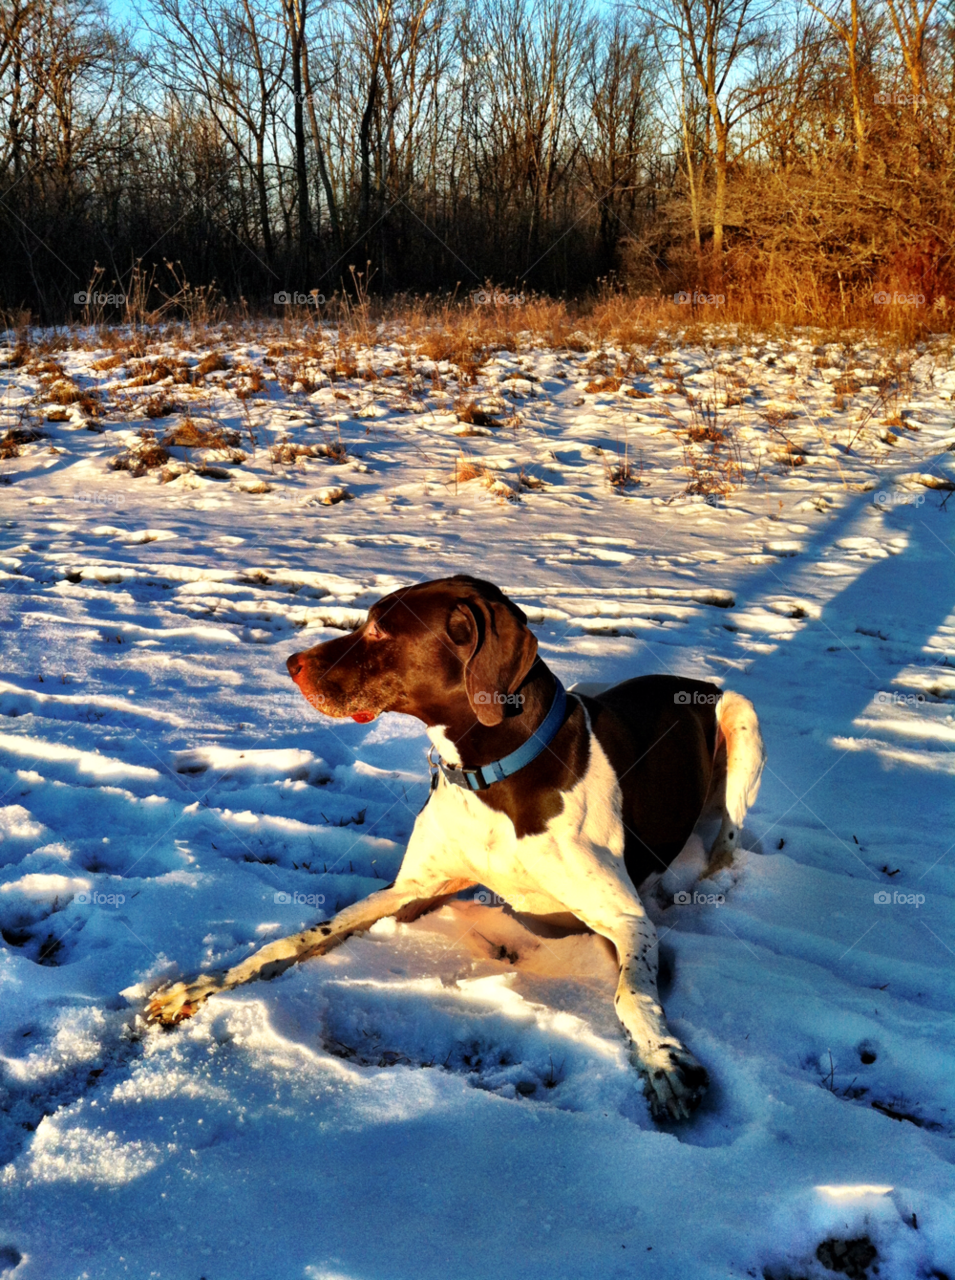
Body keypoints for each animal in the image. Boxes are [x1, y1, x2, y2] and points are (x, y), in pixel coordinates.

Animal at [145, 578, 762, 1121]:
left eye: (380, 628)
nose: (292, 662)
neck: (489, 774)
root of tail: (691, 678)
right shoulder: (412, 888)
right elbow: (300, 937)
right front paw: (201, 985)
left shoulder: (627, 919)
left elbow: (632, 994)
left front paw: (664, 1061)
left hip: (742, 719)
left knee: (728, 837)